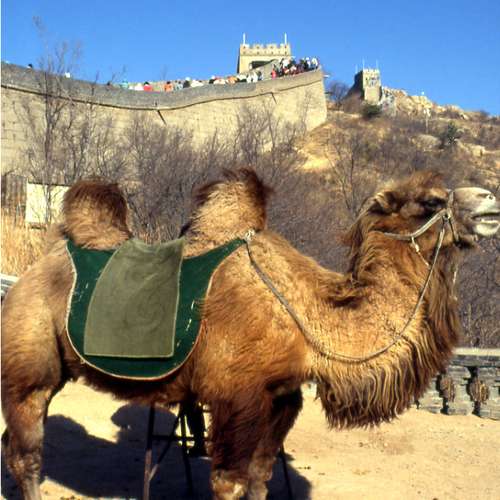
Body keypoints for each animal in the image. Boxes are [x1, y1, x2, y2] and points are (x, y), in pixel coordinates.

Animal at [2, 169, 499, 500]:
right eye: (431, 202)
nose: (490, 200)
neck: (305, 315)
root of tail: (35, 265)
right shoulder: (236, 394)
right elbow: (229, 482)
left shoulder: (281, 397)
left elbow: (261, 477)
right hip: (30, 352)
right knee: (27, 450)